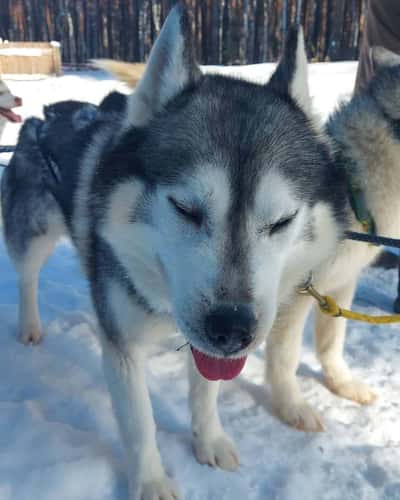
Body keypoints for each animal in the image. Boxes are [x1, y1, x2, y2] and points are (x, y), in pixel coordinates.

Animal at [1, 4, 350, 500]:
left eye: (282, 220)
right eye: (185, 208)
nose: (232, 329)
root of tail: (46, 115)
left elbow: (205, 394)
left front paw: (210, 441)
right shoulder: (123, 348)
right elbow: (139, 423)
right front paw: (150, 481)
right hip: (32, 234)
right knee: (28, 276)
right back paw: (29, 324)